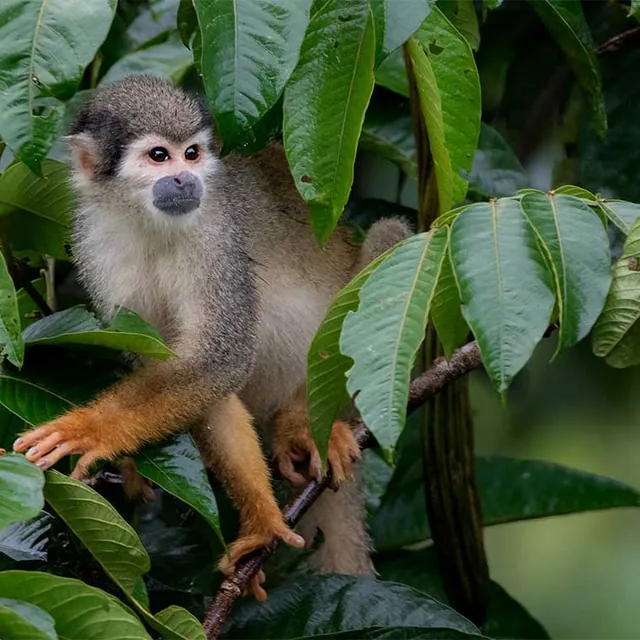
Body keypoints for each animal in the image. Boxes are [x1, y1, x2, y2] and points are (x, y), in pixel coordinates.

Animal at [13, 75, 411, 594]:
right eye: (159, 156)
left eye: (193, 153)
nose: (187, 179)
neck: (147, 223)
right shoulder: (96, 244)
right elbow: (184, 372)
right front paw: (261, 521)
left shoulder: (214, 237)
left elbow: (218, 357)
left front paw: (89, 429)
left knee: (388, 239)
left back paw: (306, 420)